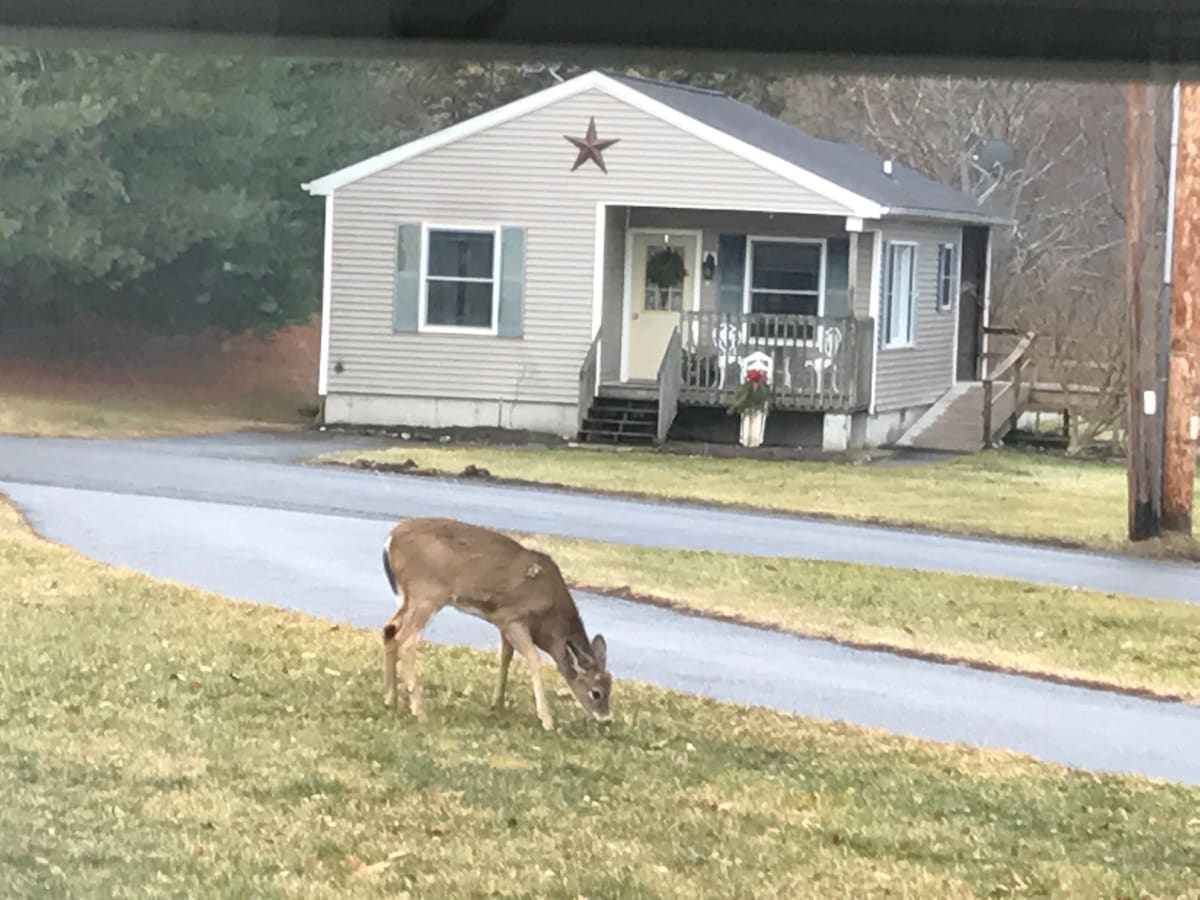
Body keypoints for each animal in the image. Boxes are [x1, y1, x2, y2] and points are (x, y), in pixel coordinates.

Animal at [379, 518, 614, 729]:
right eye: (596, 692)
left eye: (610, 685)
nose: (606, 719)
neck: (548, 621)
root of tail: (389, 541)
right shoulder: (513, 618)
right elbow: (533, 658)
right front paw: (546, 720)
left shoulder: (501, 622)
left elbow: (506, 657)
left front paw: (497, 704)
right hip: (427, 594)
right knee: (406, 642)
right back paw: (419, 710)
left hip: (410, 598)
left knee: (389, 630)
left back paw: (391, 699)